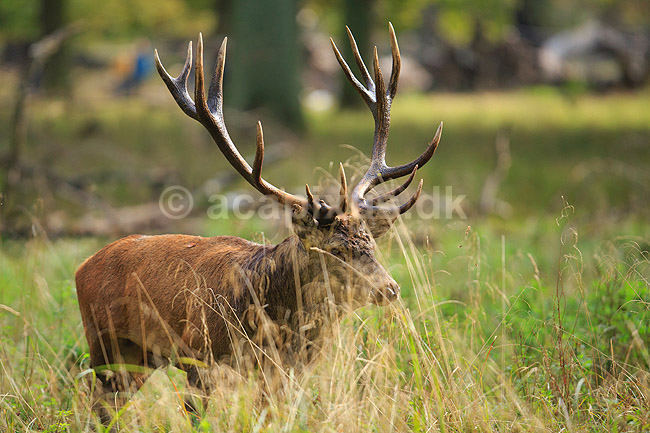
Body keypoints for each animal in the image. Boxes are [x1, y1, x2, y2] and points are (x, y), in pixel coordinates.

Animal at [75, 23, 443, 393]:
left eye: (370, 243)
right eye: (335, 250)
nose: (389, 289)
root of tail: (82, 267)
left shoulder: (287, 372)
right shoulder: (200, 358)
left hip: (139, 360)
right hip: (105, 347)